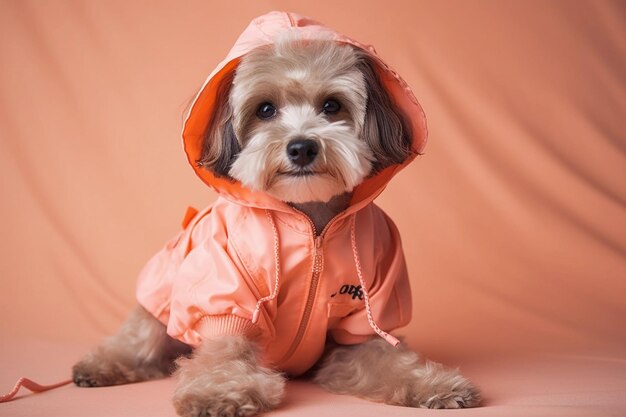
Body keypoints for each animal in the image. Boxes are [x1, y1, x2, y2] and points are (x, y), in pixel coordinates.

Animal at [70, 11, 478, 414]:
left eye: (332, 106)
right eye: (265, 109)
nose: (301, 147)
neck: (313, 227)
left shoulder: (367, 319)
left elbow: (390, 360)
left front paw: (434, 384)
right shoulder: (227, 301)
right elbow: (224, 355)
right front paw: (219, 393)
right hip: (159, 303)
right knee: (138, 340)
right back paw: (100, 366)